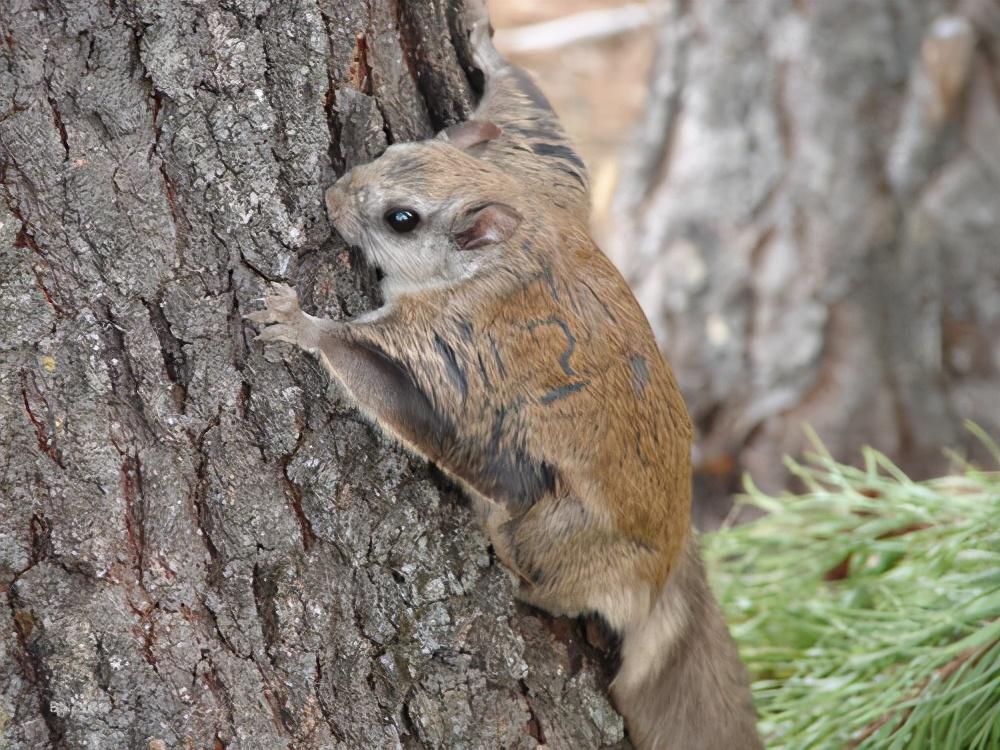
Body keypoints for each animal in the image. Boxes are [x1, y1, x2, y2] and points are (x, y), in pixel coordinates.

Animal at [248, 4, 756, 748]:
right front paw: (488, 49)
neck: (508, 249)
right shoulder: (547, 176)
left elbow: (394, 391)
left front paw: (301, 325)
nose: (334, 195)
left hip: (557, 527)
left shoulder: (452, 345)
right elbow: (530, 112)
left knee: (552, 581)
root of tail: (665, 572)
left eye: (402, 219)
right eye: (393, 150)